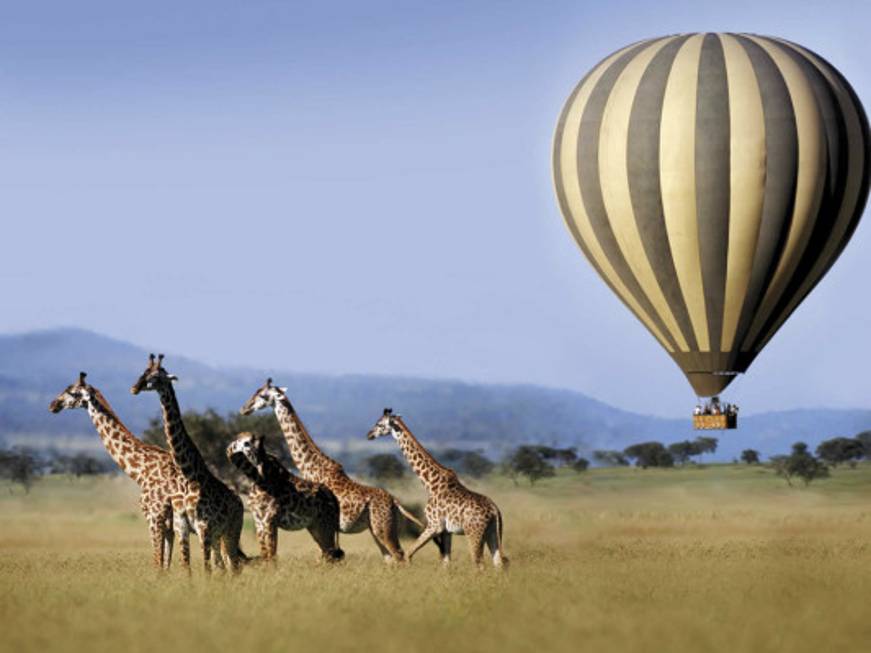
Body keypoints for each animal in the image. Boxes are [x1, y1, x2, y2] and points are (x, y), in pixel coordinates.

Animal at [49, 372, 192, 564]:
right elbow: (166, 564)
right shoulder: (168, 525)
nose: (53, 405)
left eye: (72, 391)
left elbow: (158, 562)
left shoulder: (155, 517)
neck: (141, 470)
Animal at [133, 354, 249, 572]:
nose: (134, 388)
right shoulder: (182, 526)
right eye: (143, 373)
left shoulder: (204, 527)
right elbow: (187, 568)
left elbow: (206, 570)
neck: (189, 475)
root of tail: (239, 502)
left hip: (231, 531)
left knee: (233, 566)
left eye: (156, 377)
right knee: (223, 566)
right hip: (218, 536)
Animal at [225, 432, 344, 560]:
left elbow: (271, 554)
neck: (258, 480)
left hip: (325, 525)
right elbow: (265, 554)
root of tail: (334, 498)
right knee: (327, 553)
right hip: (315, 526)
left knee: (332, 554)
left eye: (250, 443)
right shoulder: (259, 521)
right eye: (245, 443)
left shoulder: (269, 519)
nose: (230, 448)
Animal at [238, 380, 436, 564]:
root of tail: (395, 502)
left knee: (400, 556)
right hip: (377, 529)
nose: (244, 408)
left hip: (383, 528)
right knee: (390, 559)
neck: (311, 466)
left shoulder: (323, 524)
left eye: (263, 395)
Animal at [366, 408, 508, 564]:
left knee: (478, 562)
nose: (369, 434)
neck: (431, 483)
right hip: (492, 532)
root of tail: (495, 511)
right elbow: (446, 562)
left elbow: (408, 553)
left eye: (379, 424)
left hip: (474, 533)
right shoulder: (446, 531)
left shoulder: (434, 525)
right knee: (499, 562)